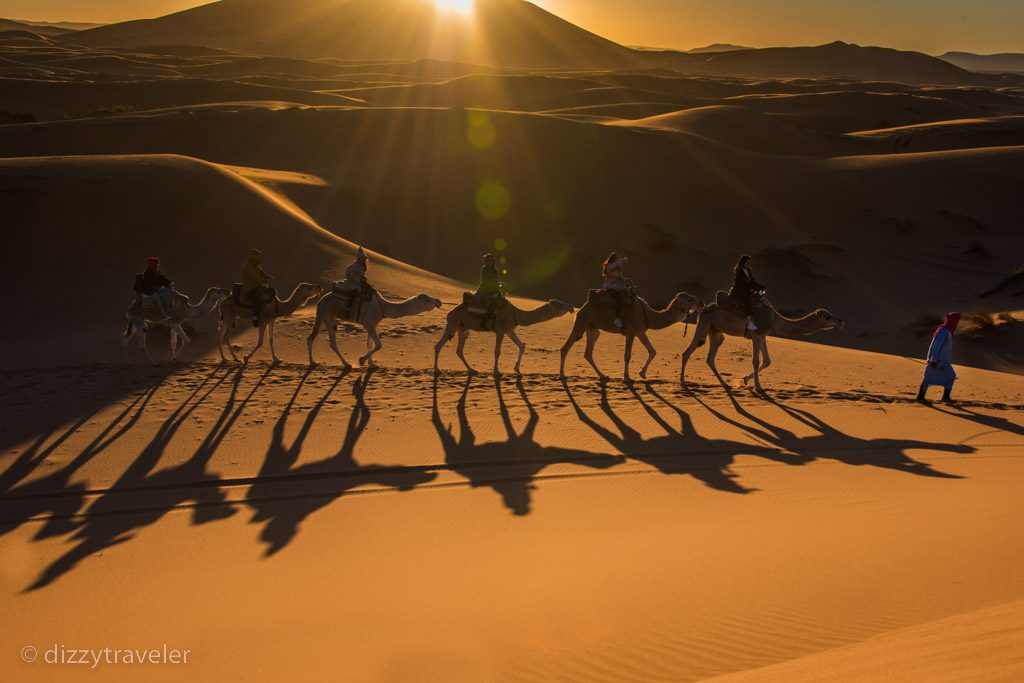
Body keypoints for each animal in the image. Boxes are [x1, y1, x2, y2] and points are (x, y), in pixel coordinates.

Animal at [307, 292, 444, 370]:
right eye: (427, 300)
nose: (439, 301)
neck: (383, 307)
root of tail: (319, 301)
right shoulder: (369, 324)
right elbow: (378, 344)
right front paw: (361, 360)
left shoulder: (371, 324)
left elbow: (369, 343)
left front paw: (372, 364)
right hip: (327, 315)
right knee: (332, 342)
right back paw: (346, 364)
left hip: (322, 319)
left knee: (311, 337)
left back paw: (313, 362)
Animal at [432, 296, 577, 376]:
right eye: (560, 305)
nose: (571, 307)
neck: (516, 314)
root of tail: (450, 313)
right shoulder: (500, 330)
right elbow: (497, 351)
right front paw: (496, 372)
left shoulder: (509, 330)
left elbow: (521, 345)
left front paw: (517, 368)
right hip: (453, 324)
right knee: (438, 346)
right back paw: (437, 370)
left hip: (462, 329)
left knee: (459, 350)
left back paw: (472, 370)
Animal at [557, 290, 700, 382]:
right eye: (689, 299)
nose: (701, 302)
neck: (648, 314)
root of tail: (582, 307)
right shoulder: (631, 332)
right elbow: (627, 355)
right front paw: (626, 378)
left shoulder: (640, 332)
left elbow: (652, 351)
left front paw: (642, 374)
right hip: (581, 323)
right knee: (565, 348)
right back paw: (562, 375)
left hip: (592, 329)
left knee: (588, 353)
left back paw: (603, 376)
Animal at [684, 290, 843, 393]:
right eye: (827, 317)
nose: (841, 321)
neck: (774, 319)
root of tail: (703, 309)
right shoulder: (756, 334)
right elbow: (756, 361)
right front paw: (758, 387)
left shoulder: (763, 335)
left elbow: (767, 361)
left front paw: (745, 380)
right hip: (704, 324)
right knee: (689, 350)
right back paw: (683, 383)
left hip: (715, 331)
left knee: (710, 357)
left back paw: (726, 385)